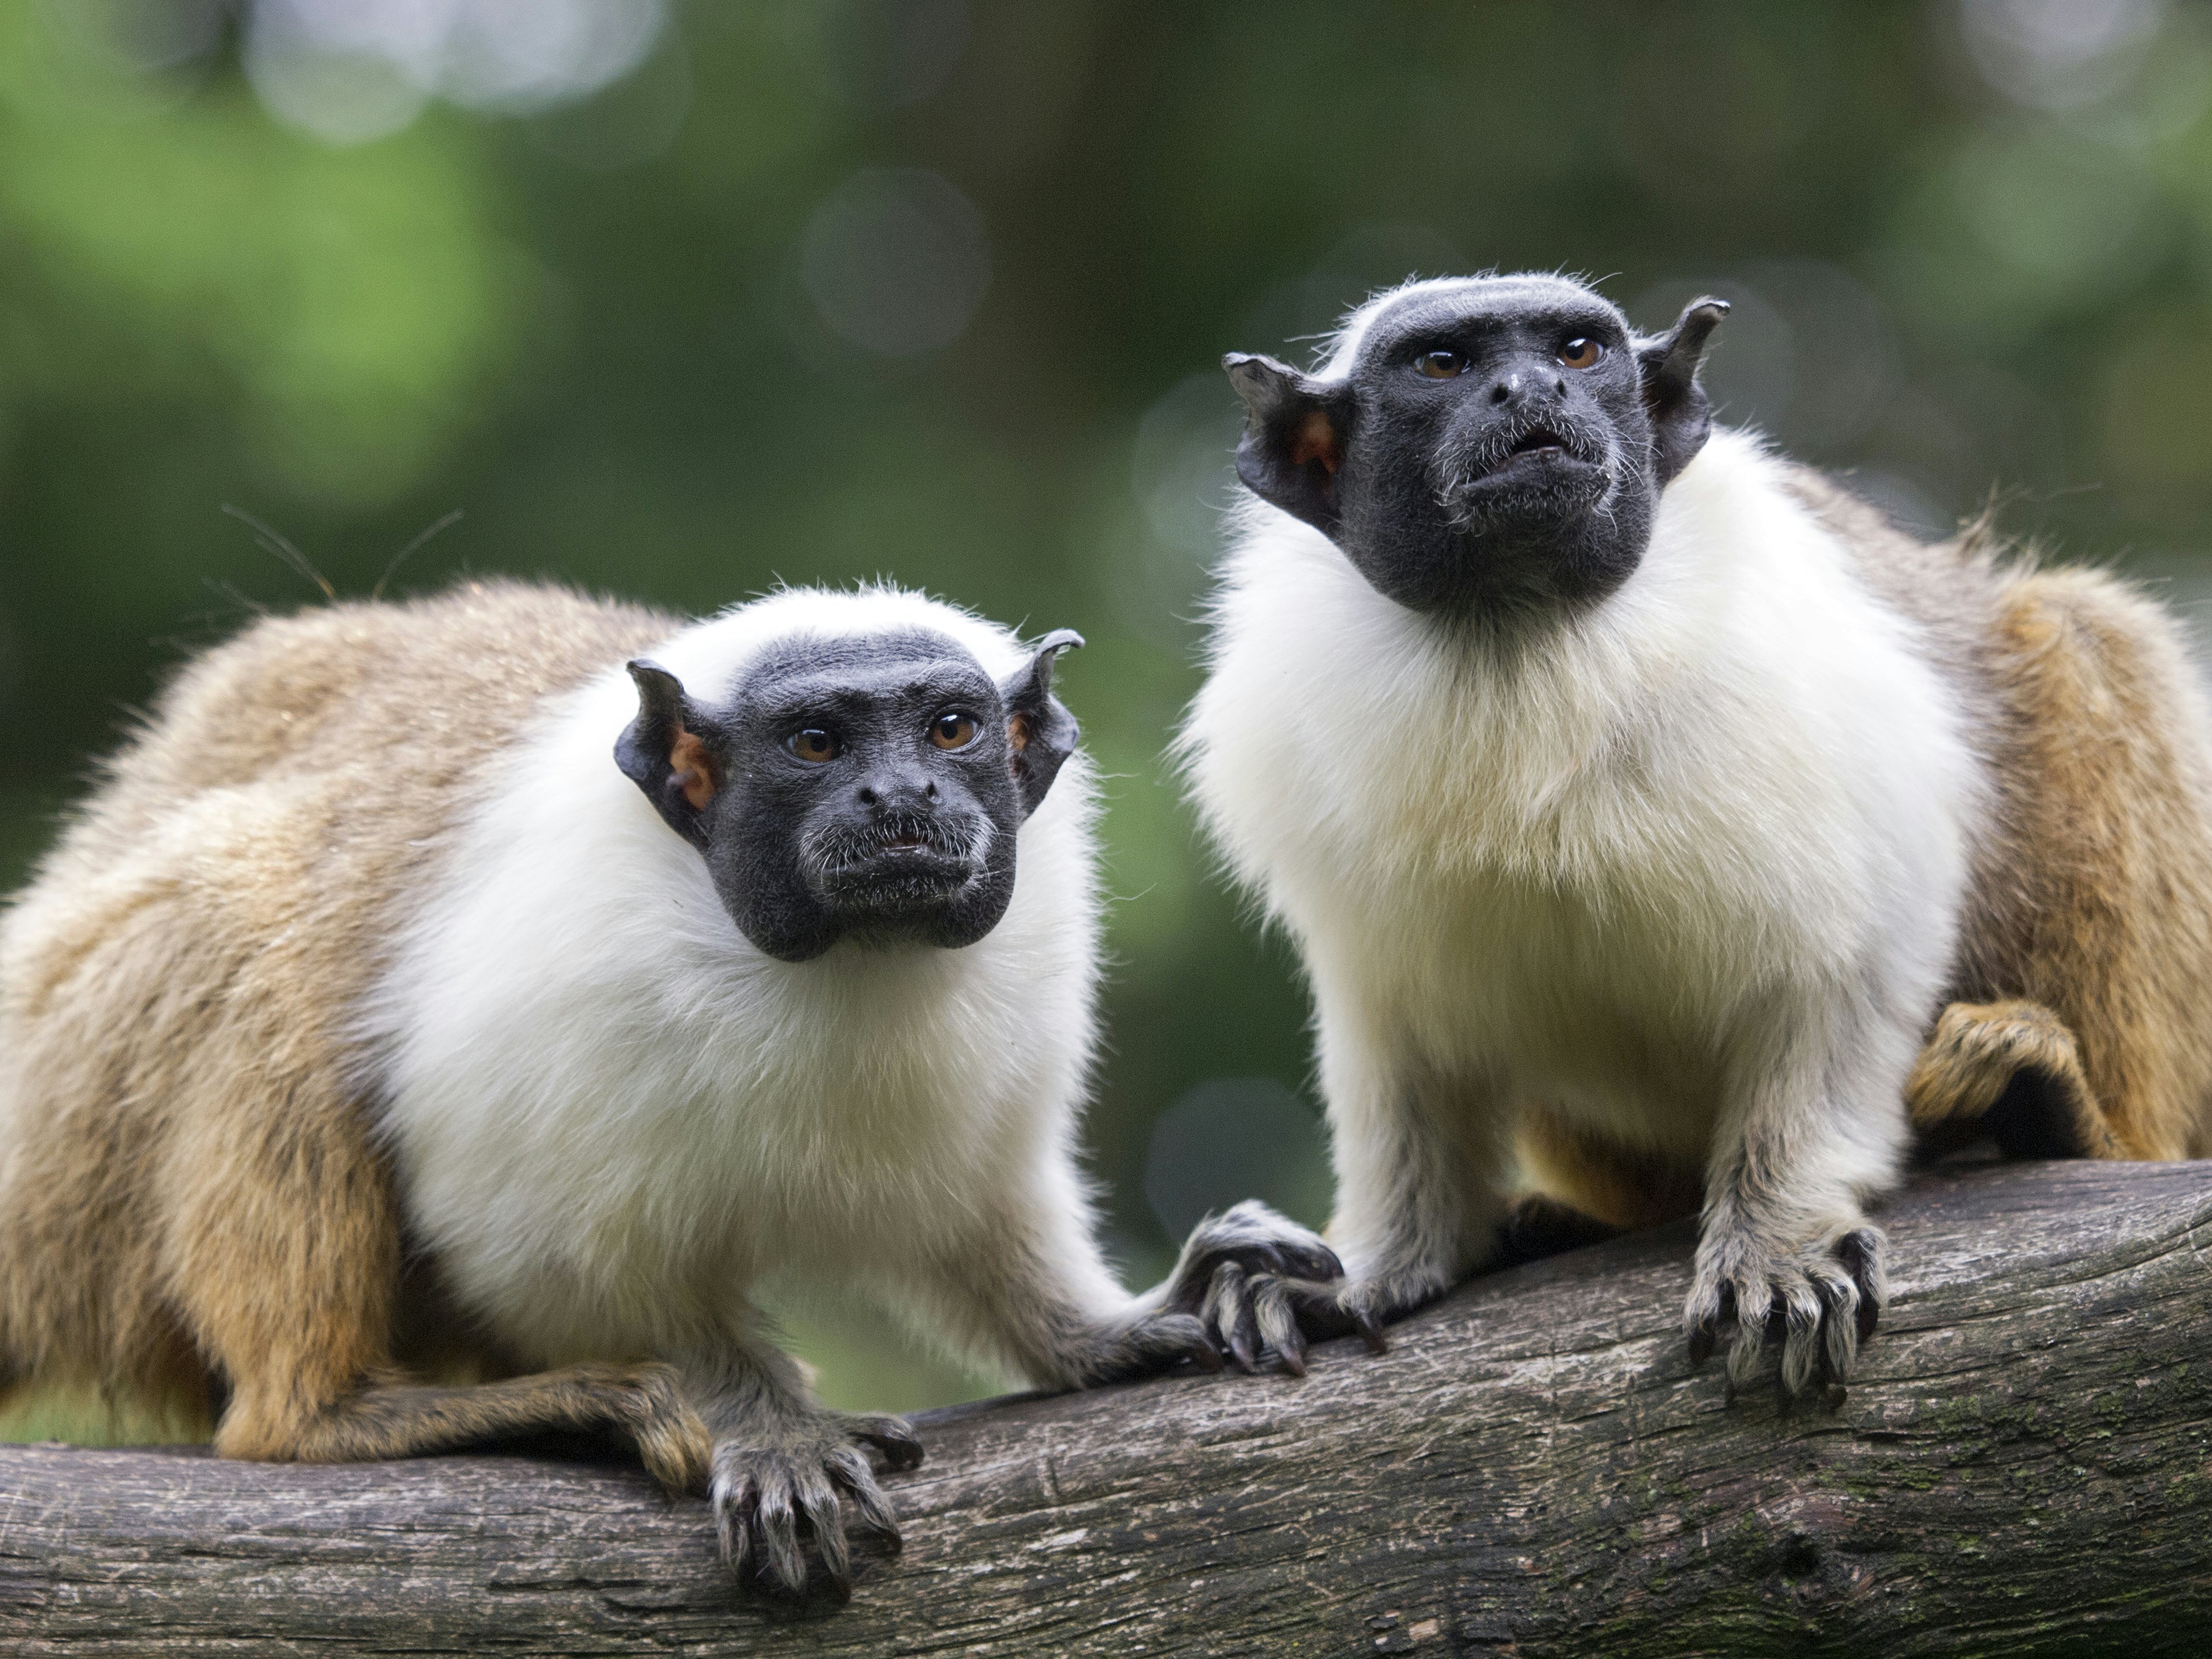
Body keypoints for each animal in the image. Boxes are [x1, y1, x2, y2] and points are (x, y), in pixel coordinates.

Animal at [0, 579, 1327, 1601]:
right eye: (817, 745)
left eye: (951, 730)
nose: (904, 801)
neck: (844, 963)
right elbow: (550, 1251)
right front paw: (764, 1418)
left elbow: (978, 1216)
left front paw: (1106, 1328)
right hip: (63, 1133)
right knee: (252, 912)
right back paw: (345, 1411)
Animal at [1186, 273, 2212, 1407]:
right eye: (1443, 365)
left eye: (1577, 353)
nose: (1529, 390)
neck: (1518, 641)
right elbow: (1402, 1051)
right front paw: (1376, 1266)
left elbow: (1855, 964)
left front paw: (1779, 1237)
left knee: (2082, 640)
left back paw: (2064, 1113)